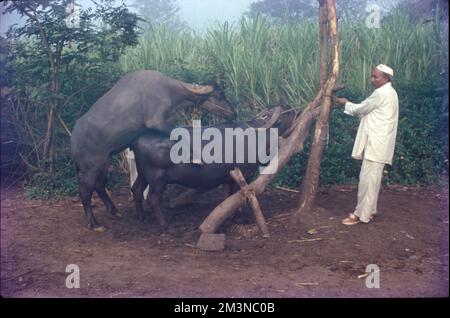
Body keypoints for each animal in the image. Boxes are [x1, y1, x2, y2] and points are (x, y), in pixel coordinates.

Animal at [70, 70, 236, 231]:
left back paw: (114, 211)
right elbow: (180, 131)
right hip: (90, 168)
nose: (233, 113)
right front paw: (194, 156)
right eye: (219, 95)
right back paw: (95, 224)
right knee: (85, 192)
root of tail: (73, 139)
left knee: (99, 184)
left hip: (105, 161)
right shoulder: (156, 121)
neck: (170, 89)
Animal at [130, 107, 296, 226]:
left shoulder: (229, 176)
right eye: (284, 113)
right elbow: (240, 196)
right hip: (157, 179)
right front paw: (241, 218)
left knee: (136, 189)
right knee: (152, 199)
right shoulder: (245, 174)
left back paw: (141, 217)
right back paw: (165, 224)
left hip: (143, 174)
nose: (295, 110)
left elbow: (228, 197)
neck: (256, 136)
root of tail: (138, 138)